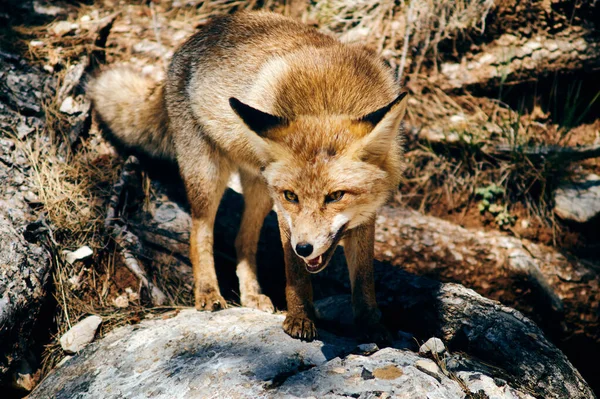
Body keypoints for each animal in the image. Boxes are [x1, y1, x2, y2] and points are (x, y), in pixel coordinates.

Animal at [89, 10, 408, 346]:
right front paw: (300, 319)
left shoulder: (365, 217)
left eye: (335, 196)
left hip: (260, 191)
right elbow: (296, 276)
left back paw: (252, 294)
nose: (304, 248)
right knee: (200, 233)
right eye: (292, 196)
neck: (329, 98)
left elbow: (364, 280)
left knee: (242, 242)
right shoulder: (285, 215)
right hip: (209, 178)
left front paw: (372, 326)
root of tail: (201, 33)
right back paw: (208, 292)